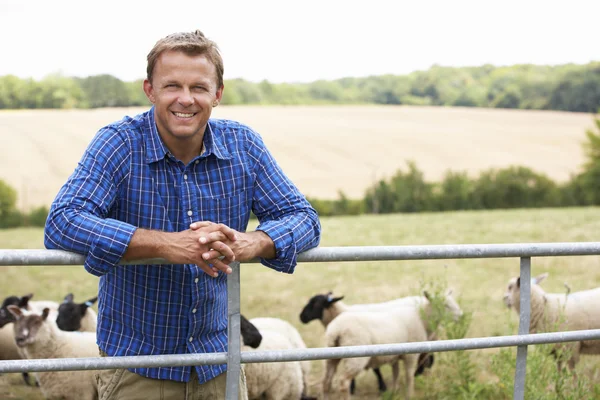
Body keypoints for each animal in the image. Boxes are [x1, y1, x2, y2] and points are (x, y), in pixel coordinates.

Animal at [322, 290, 462, 400]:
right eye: (445, 305)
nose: (462, 316)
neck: (421, 317)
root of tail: (336, 329)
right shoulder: (411, 355)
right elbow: (409, 376)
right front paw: (410, 395)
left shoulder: (395, 355)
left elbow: (396, 374)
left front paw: (394, 392)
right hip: (355, 358)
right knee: (344, 382)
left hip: (332, 355)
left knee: (326, 382)